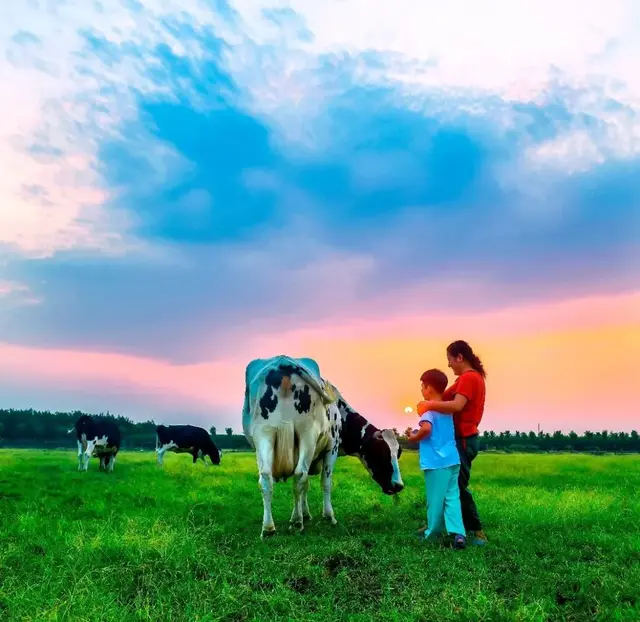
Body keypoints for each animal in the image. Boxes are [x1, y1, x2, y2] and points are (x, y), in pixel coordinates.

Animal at [242, 358, 402, 540]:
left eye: (398, 453)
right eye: (381, 453)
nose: (399, 485)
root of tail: (283, 361)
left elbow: (305, 486)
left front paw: (304, 514)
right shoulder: (332, 448)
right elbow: (325, 483)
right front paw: (327, 516)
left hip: (264, 435)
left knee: (267, 478)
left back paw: (269, 528)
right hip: (307, 434)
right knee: (299, 474)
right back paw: (296, 523)